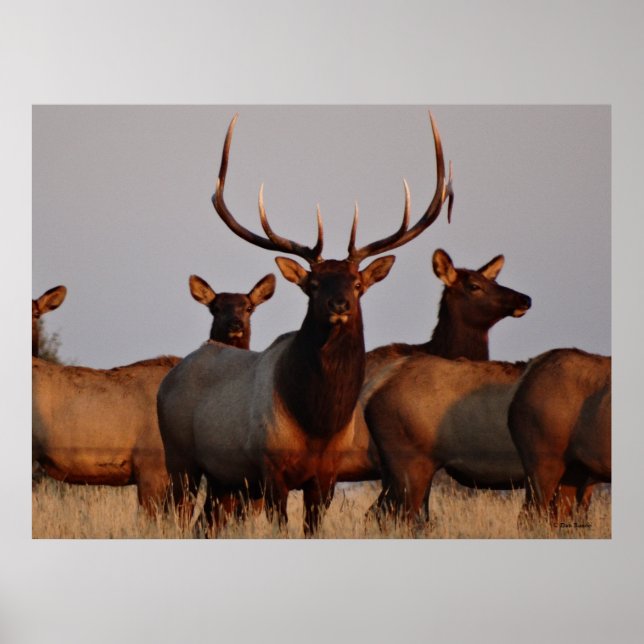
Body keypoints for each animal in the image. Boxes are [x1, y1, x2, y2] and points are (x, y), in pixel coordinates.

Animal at [157, 111, 452, 535]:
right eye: (312, 284)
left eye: (357, 283)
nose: (339, 303)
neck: (316, 422)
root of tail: (169, 379)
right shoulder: (271, 469)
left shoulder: (326, 477)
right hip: (179, 458)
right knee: (175, 512)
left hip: (224, 479)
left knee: (204, 523)